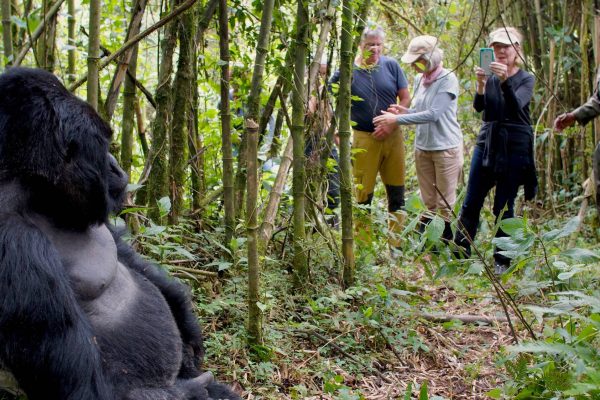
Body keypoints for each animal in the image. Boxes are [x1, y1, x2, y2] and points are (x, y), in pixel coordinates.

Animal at [0, 67, 241, 398]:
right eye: (102, 146)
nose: (116, 167)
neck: (39, 195)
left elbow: (131, 257)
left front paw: (187, 322)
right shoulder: (17, 243)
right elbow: (84, 388)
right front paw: (191, 391)